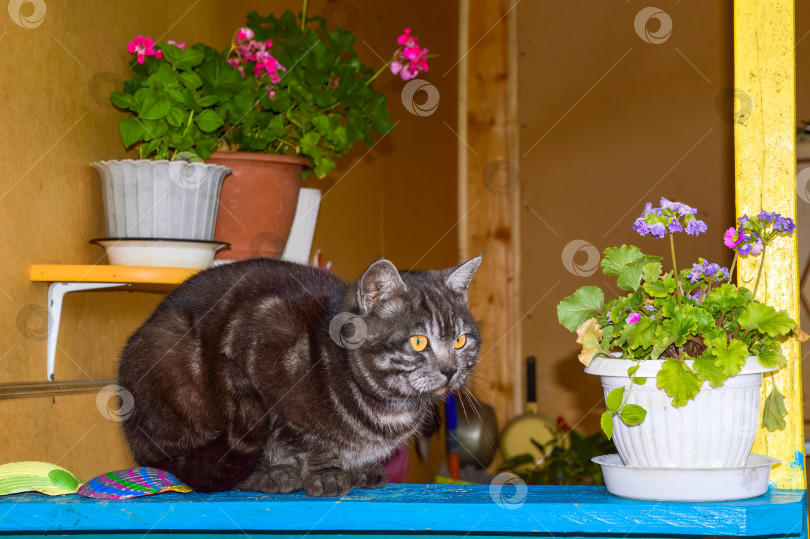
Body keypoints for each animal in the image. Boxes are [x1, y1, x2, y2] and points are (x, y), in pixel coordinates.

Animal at [117, 256, 482, 498]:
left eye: (460, 340)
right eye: (419, 341)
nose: (450, 370)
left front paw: (360, 468)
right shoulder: (265, 338)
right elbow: (307, 438)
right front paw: (326, 473)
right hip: (172, 356)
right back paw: (271, 476)